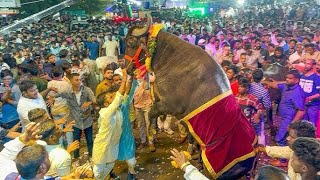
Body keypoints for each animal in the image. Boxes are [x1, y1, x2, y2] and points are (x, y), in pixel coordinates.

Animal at [124, 13, 256, 179]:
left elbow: (152, 113)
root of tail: (252, 156)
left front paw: (152, 132)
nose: (127, 69)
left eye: (130, 42)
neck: (171, 60)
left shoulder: (170, 105)